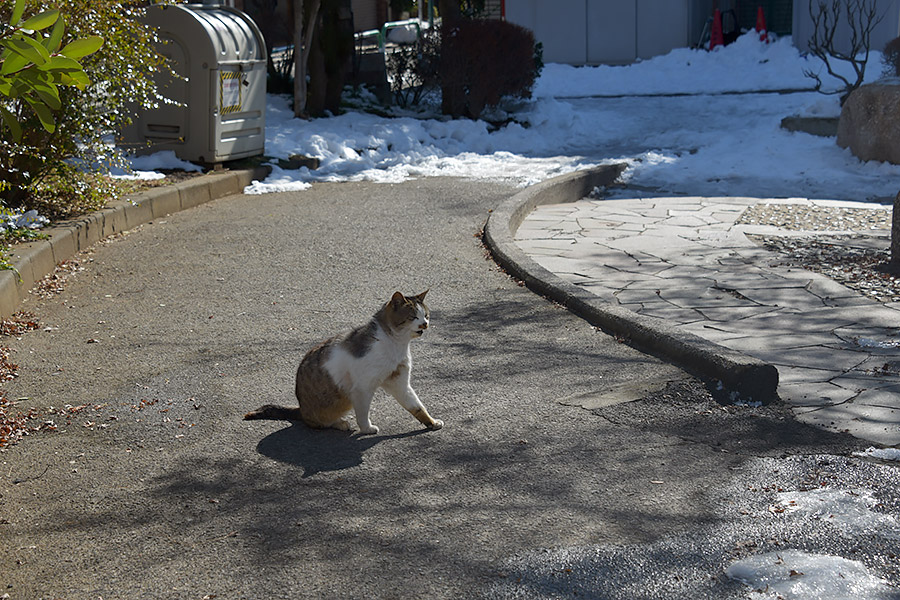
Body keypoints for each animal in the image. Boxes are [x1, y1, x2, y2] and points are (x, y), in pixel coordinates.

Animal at [244, 290, 444, 434]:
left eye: (426, 315)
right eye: (413, 317)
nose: (425, 324)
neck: (395, 344)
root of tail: (301, 408)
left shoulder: (400, 383)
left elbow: (417, 406)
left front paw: (431, 422)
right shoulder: (363, 388)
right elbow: (363, 412)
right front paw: (366, 428)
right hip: (338, 399)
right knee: (317, 422)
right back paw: (339, 423)